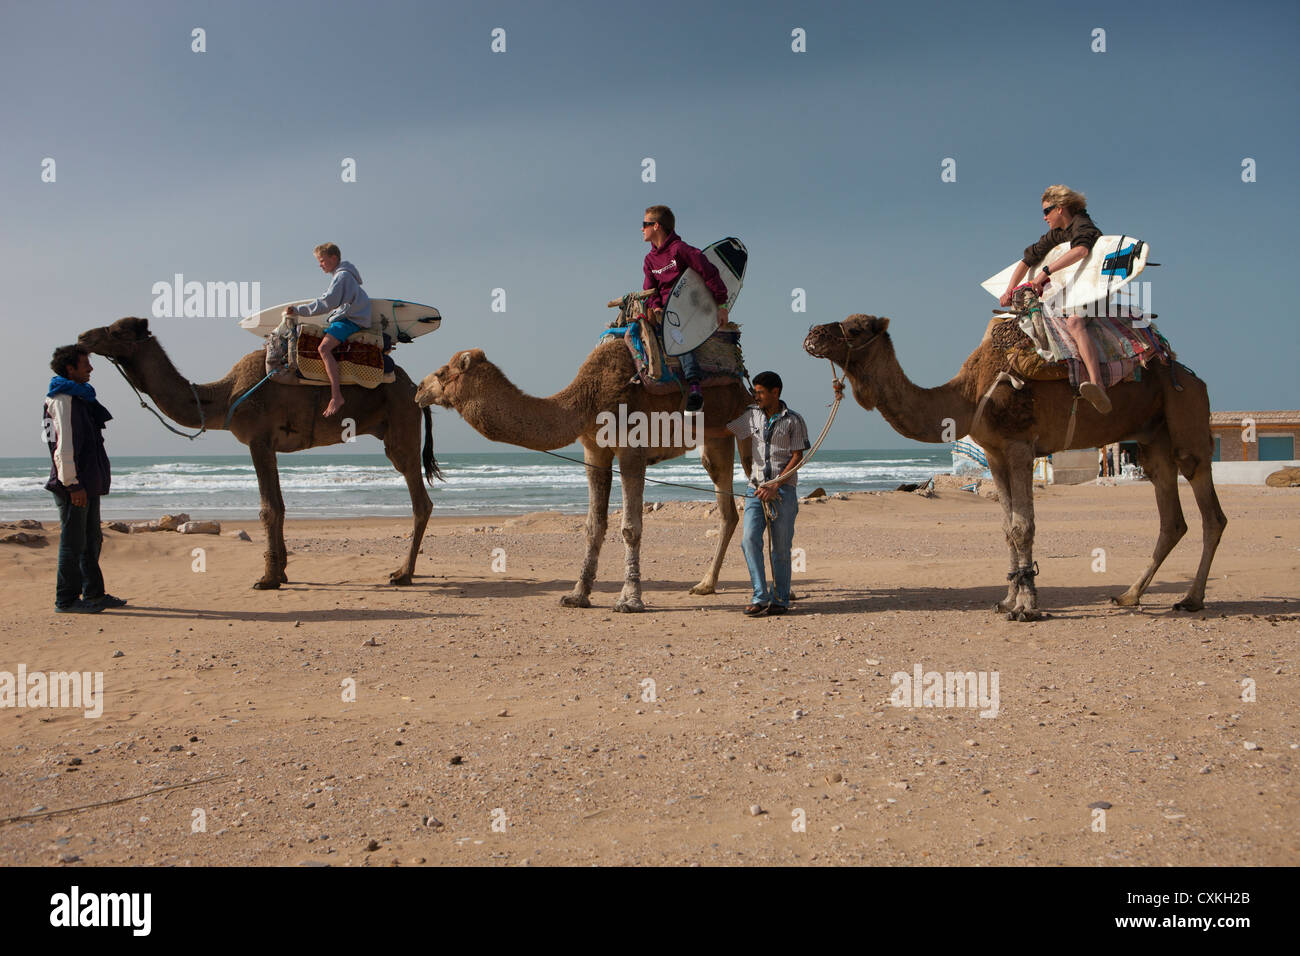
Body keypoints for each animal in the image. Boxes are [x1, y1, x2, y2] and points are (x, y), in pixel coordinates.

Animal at [79, 317, 441, 587]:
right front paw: (280, 572)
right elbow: (279, 505)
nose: (83, 336)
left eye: (116, 331)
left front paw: (267, 578)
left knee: (419, 498)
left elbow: (268, 509)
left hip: (400, 427)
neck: (223, 395)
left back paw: (402, 574)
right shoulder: (271, 445)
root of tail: (415, 389)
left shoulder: (258, 439)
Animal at [416, 343, 754, 613]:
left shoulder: (632, 446)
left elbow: (630, 527)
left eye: (442, 372)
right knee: (728, 510)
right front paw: (577, 595)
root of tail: (745, 388)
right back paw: (706, 585)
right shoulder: (594, 450)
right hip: (715, 439)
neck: (588, 398)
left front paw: (630, 600)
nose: (419, 389)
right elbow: (593, 525)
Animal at [800, 317, 1227, 624]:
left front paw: (1027, 607)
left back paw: (1191, 599)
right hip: (1153, 438)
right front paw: (1007, 600)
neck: (969, 394)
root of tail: (1193, 376)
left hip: (1186, 415)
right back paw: (1129, 595)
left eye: (855, 327)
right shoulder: (994, 453)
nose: (811, 333)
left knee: (1210, 508)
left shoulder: (1020, 445)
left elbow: (1024, 526)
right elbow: (1007, 527)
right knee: (1172, 517)